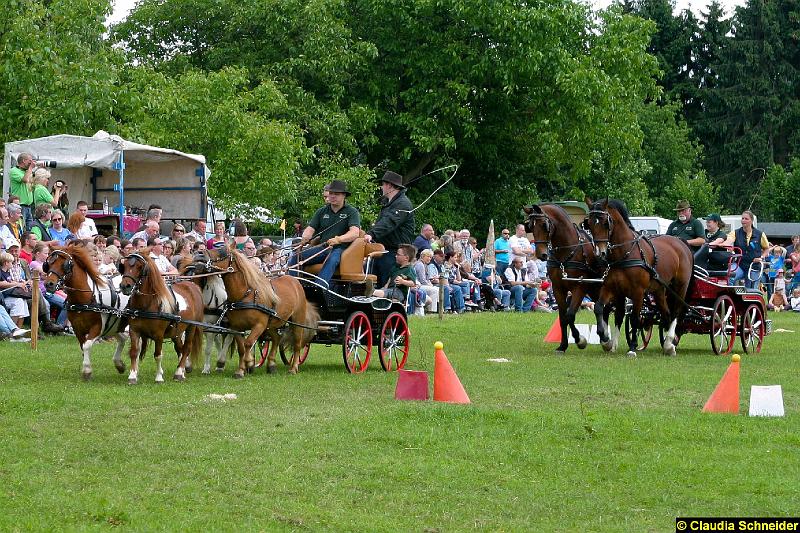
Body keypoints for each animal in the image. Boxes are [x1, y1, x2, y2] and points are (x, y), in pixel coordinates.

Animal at [44, 241, 130, 378]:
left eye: (65, 265)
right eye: (48, 264)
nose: (49, 284)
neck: (84, 298)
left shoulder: (98, 327)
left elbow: (87, 345)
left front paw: (87, 370)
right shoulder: (77, 328)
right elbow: (82, 346)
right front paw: (87, 367)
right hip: (116, 324)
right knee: (123, 338)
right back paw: (119, 364)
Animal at [120, 250, 206, 382]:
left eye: (140, 267)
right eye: (124, 266)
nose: (125, 286)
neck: (146, 305)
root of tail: (192, 285)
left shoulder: (159, 334)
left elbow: (158, 355)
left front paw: (159, 377)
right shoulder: (134, 331)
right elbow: (134, 352)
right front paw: (132, 375)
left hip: (191, 327)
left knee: (186, 348)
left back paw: (179, 372)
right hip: (176, 331)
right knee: (180, 349)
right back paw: (182, 371)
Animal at [198, 244, 318, 374]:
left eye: (222, 252)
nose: (200, 254)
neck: (245, 295)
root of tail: (295, 281)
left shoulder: (259, 325)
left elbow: (248, 343)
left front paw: (249, 363)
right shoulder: (236, 327)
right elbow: (241, 348)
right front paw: (241, 370)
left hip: (297, 320)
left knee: (297, 343)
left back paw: (293, 368)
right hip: (272, 323)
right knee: (277, 338)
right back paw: (271, 365)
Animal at [520, 206, 620, 352]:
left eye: (544, 225)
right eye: (530, 226)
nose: (541, 254)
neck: (566, 252)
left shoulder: (579, 287)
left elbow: (570, 314)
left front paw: (580, 340)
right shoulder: (558, 288)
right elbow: (563, 317)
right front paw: (563, 345)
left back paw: (609, 341)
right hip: (596, 290)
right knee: (603, 309)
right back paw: (605, 338)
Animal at [580, 197, 692, 356]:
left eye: (605, 223)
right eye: (588, 224)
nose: (599, 253)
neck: (625, 253)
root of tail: (680, 242)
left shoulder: (638, 292)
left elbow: (634, 318)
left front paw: (632, 347)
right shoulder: (612, 289)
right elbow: (605, 310)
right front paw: (607, 341)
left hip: (680, 286)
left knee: (676, 311)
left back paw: (670, 343)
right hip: (659, 290)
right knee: (666, 313)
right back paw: (667, 343)